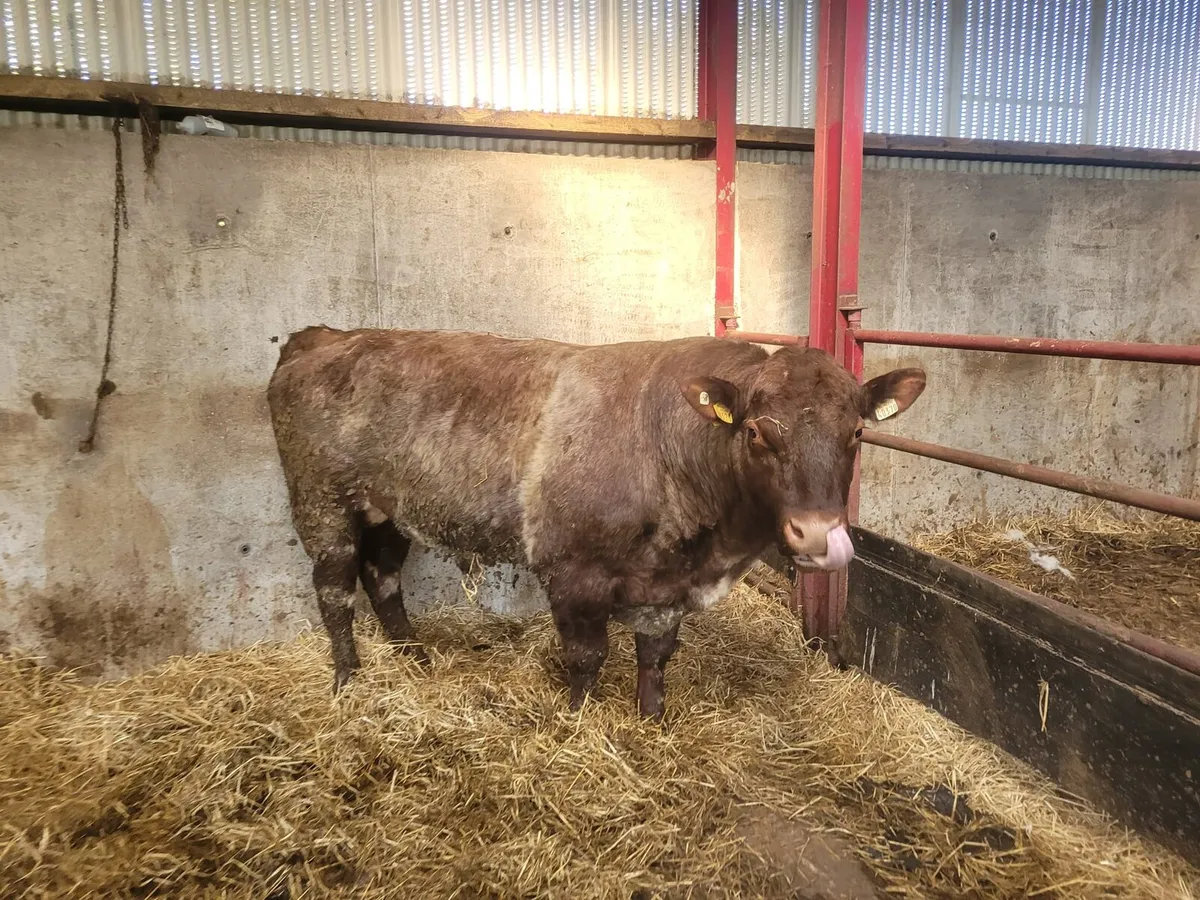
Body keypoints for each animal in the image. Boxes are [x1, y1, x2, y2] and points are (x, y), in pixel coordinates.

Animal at [267, 327, 925, 720]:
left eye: (857, 432)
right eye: (759, 433)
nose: (818, 534)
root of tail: (322, 336)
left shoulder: (666, 586)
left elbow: (656, 654)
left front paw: (652, 719)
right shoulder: (571, 571)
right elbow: (586, 657)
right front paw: (575, 721)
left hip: (386, 508)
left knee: (382, 577)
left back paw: (414, 657)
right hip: (322, 504)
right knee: (334, 589)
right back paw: (347, 677)